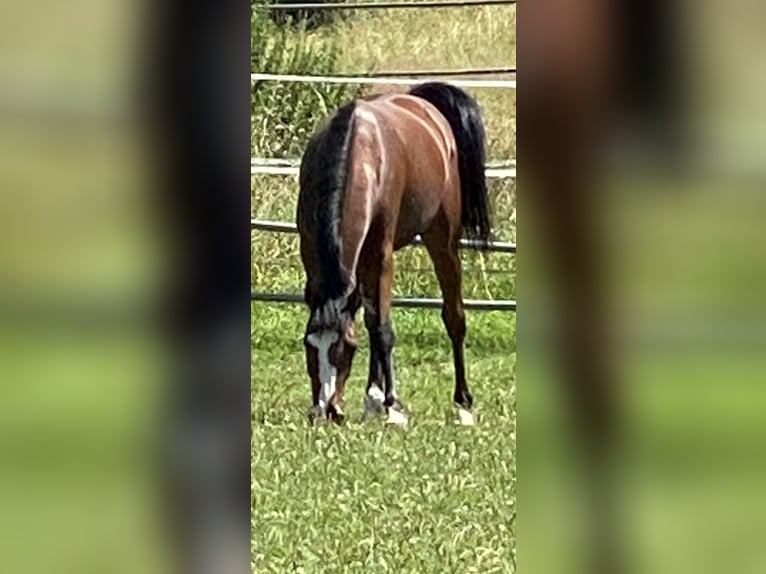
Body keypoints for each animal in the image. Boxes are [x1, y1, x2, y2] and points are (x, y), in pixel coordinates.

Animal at [296, 82, 492, 428]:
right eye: (309, 346)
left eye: (347, 348)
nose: (325, 410)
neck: (359, 154)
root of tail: (420, 100)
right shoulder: (311, 250)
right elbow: (371, 322)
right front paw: (375, 399)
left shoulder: (380, 254)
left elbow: (382, 330)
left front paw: (393, 405)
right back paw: (372, 398)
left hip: (442, 241)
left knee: (453, 316)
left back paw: (463, 401)